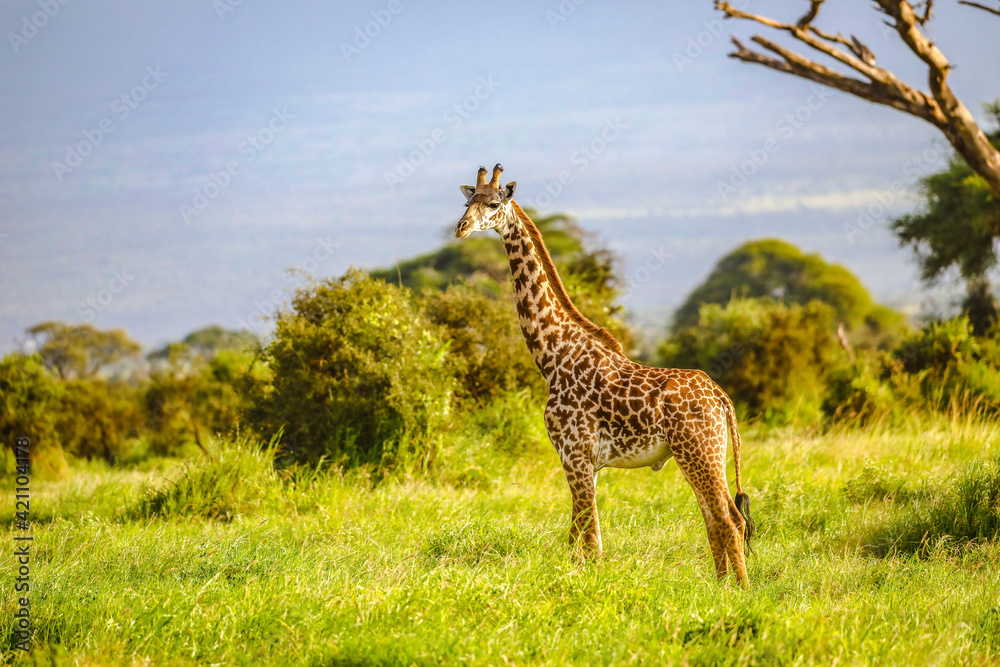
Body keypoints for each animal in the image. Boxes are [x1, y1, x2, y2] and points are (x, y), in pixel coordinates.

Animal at [454, 164, 756, 585]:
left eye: (494, 204)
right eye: (467, 202)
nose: (461, 227)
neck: (554, 355)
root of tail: (723, 400)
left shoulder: (575, 453)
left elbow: (590, 538)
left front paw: (592, 586)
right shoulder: (583, 461)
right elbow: (576, 536)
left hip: (699, 451)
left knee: (730, 519)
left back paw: (738, 589)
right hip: (698, 454)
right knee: (715, 518)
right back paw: (720, 584)